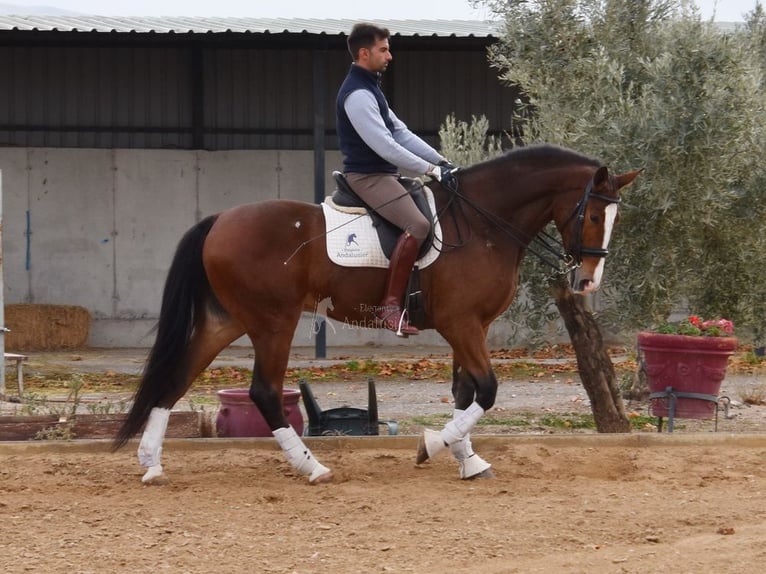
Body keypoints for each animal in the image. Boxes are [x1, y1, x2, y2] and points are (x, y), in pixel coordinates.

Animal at [112, 145, 640, 486]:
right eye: (594, 215)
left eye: (616, 218)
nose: (587, 281)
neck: (483, 223)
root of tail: (219, 219)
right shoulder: (461, 324)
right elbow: (486, 391)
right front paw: (432, 446)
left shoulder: (470, 326)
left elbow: (465, 392)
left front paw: (466, 460)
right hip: (273, 321)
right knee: (263, 392)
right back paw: (312, 468)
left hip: (229, 320)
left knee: (177, 376)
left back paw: (151, 463)